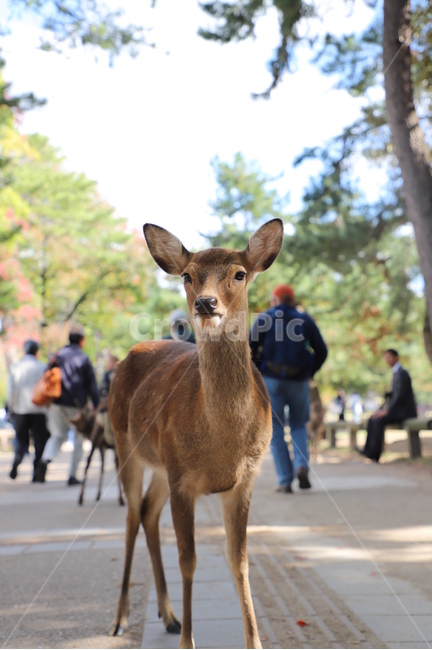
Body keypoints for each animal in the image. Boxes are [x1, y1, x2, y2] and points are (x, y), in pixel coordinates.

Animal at [108, 219, 283, 649]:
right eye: (187, 276)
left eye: (239, 273)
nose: (206, 303)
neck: (223, 444)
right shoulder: (183, 480)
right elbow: (188, 560)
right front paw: (189, 641)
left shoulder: (244, 480)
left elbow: (239, 560)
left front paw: (254, 641)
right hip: (125, 445)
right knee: (131, 517)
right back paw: (121, 619)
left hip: (160, 465)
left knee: (148, 514)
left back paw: (168, 616)